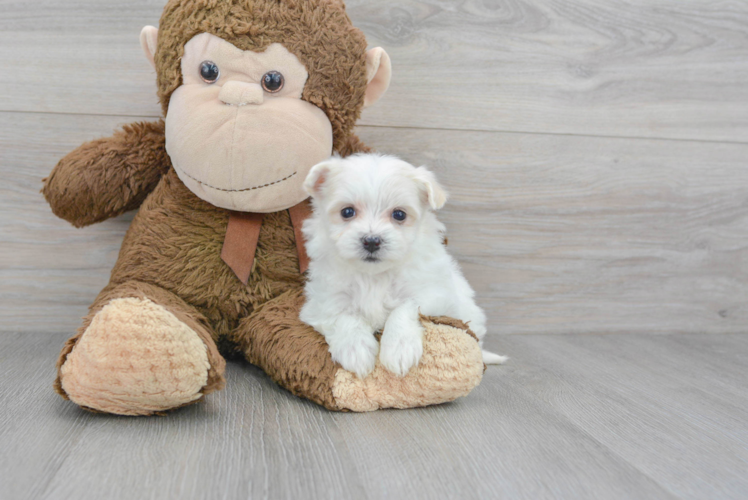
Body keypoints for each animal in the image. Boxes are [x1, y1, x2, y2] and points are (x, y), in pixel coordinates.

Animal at [300, 154, 508, 376]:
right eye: (347, 212)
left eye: (399, 214)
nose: (371, 241)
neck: (374, 275)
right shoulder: (324, 300)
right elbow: (343, 316)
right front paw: (356, 350)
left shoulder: (433, 293)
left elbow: (404, 308)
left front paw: (399, 349)